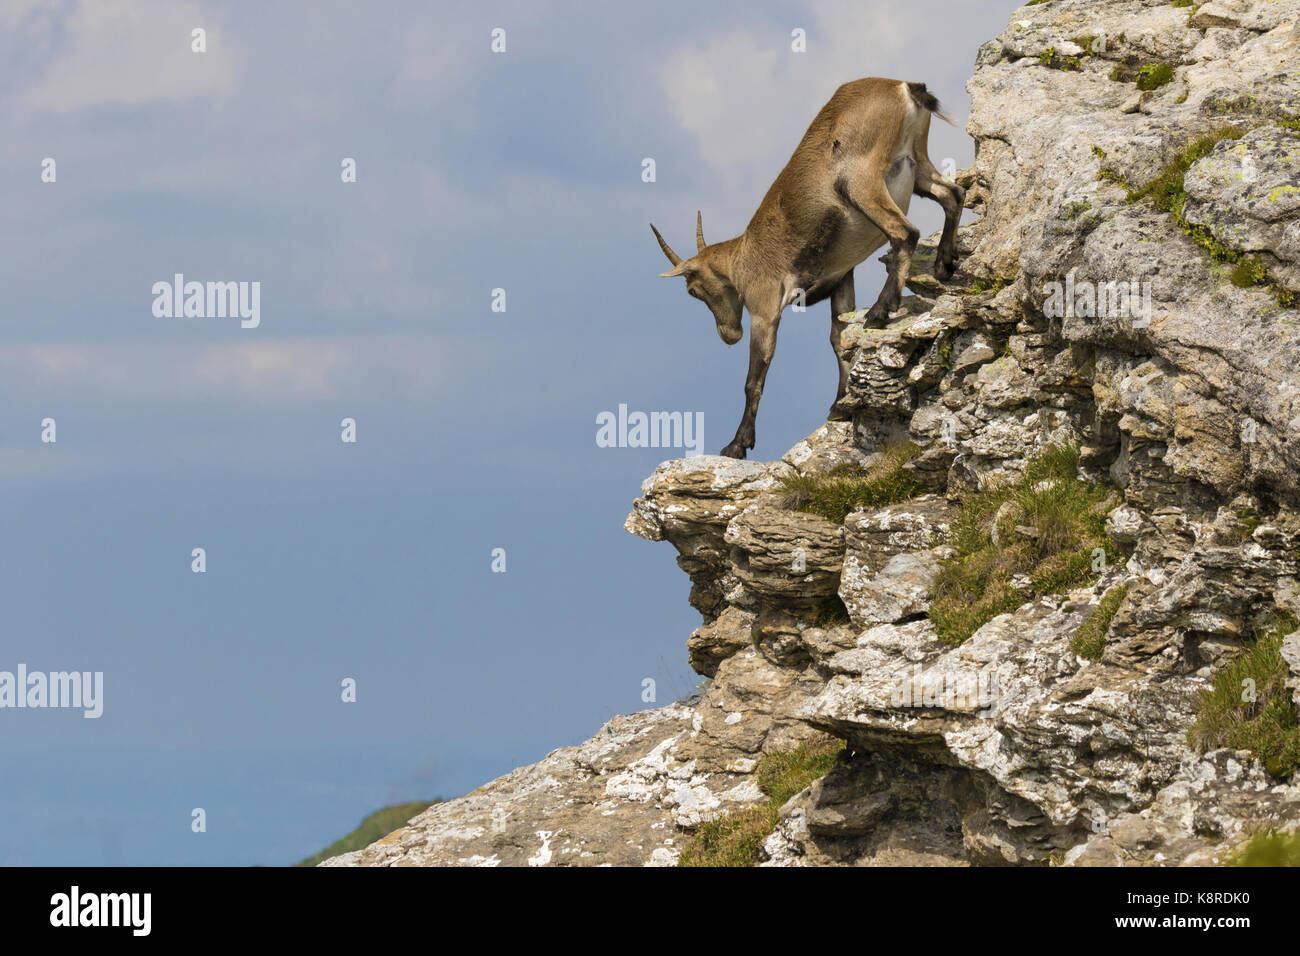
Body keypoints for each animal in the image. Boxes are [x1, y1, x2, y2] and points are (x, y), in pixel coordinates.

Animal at [652, 78, 964, 459]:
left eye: (693, 290)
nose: (729, 335)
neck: (742, 256)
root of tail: (904, 87)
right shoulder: (842, 278)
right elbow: (838, 339)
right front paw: (840, 405)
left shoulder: (765, 307)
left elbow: (755, 378)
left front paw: (737, 445)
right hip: (918, 165)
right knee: (953, 195)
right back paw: (944, 264)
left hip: (861, 179)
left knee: (906, 232)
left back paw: (879, 311)